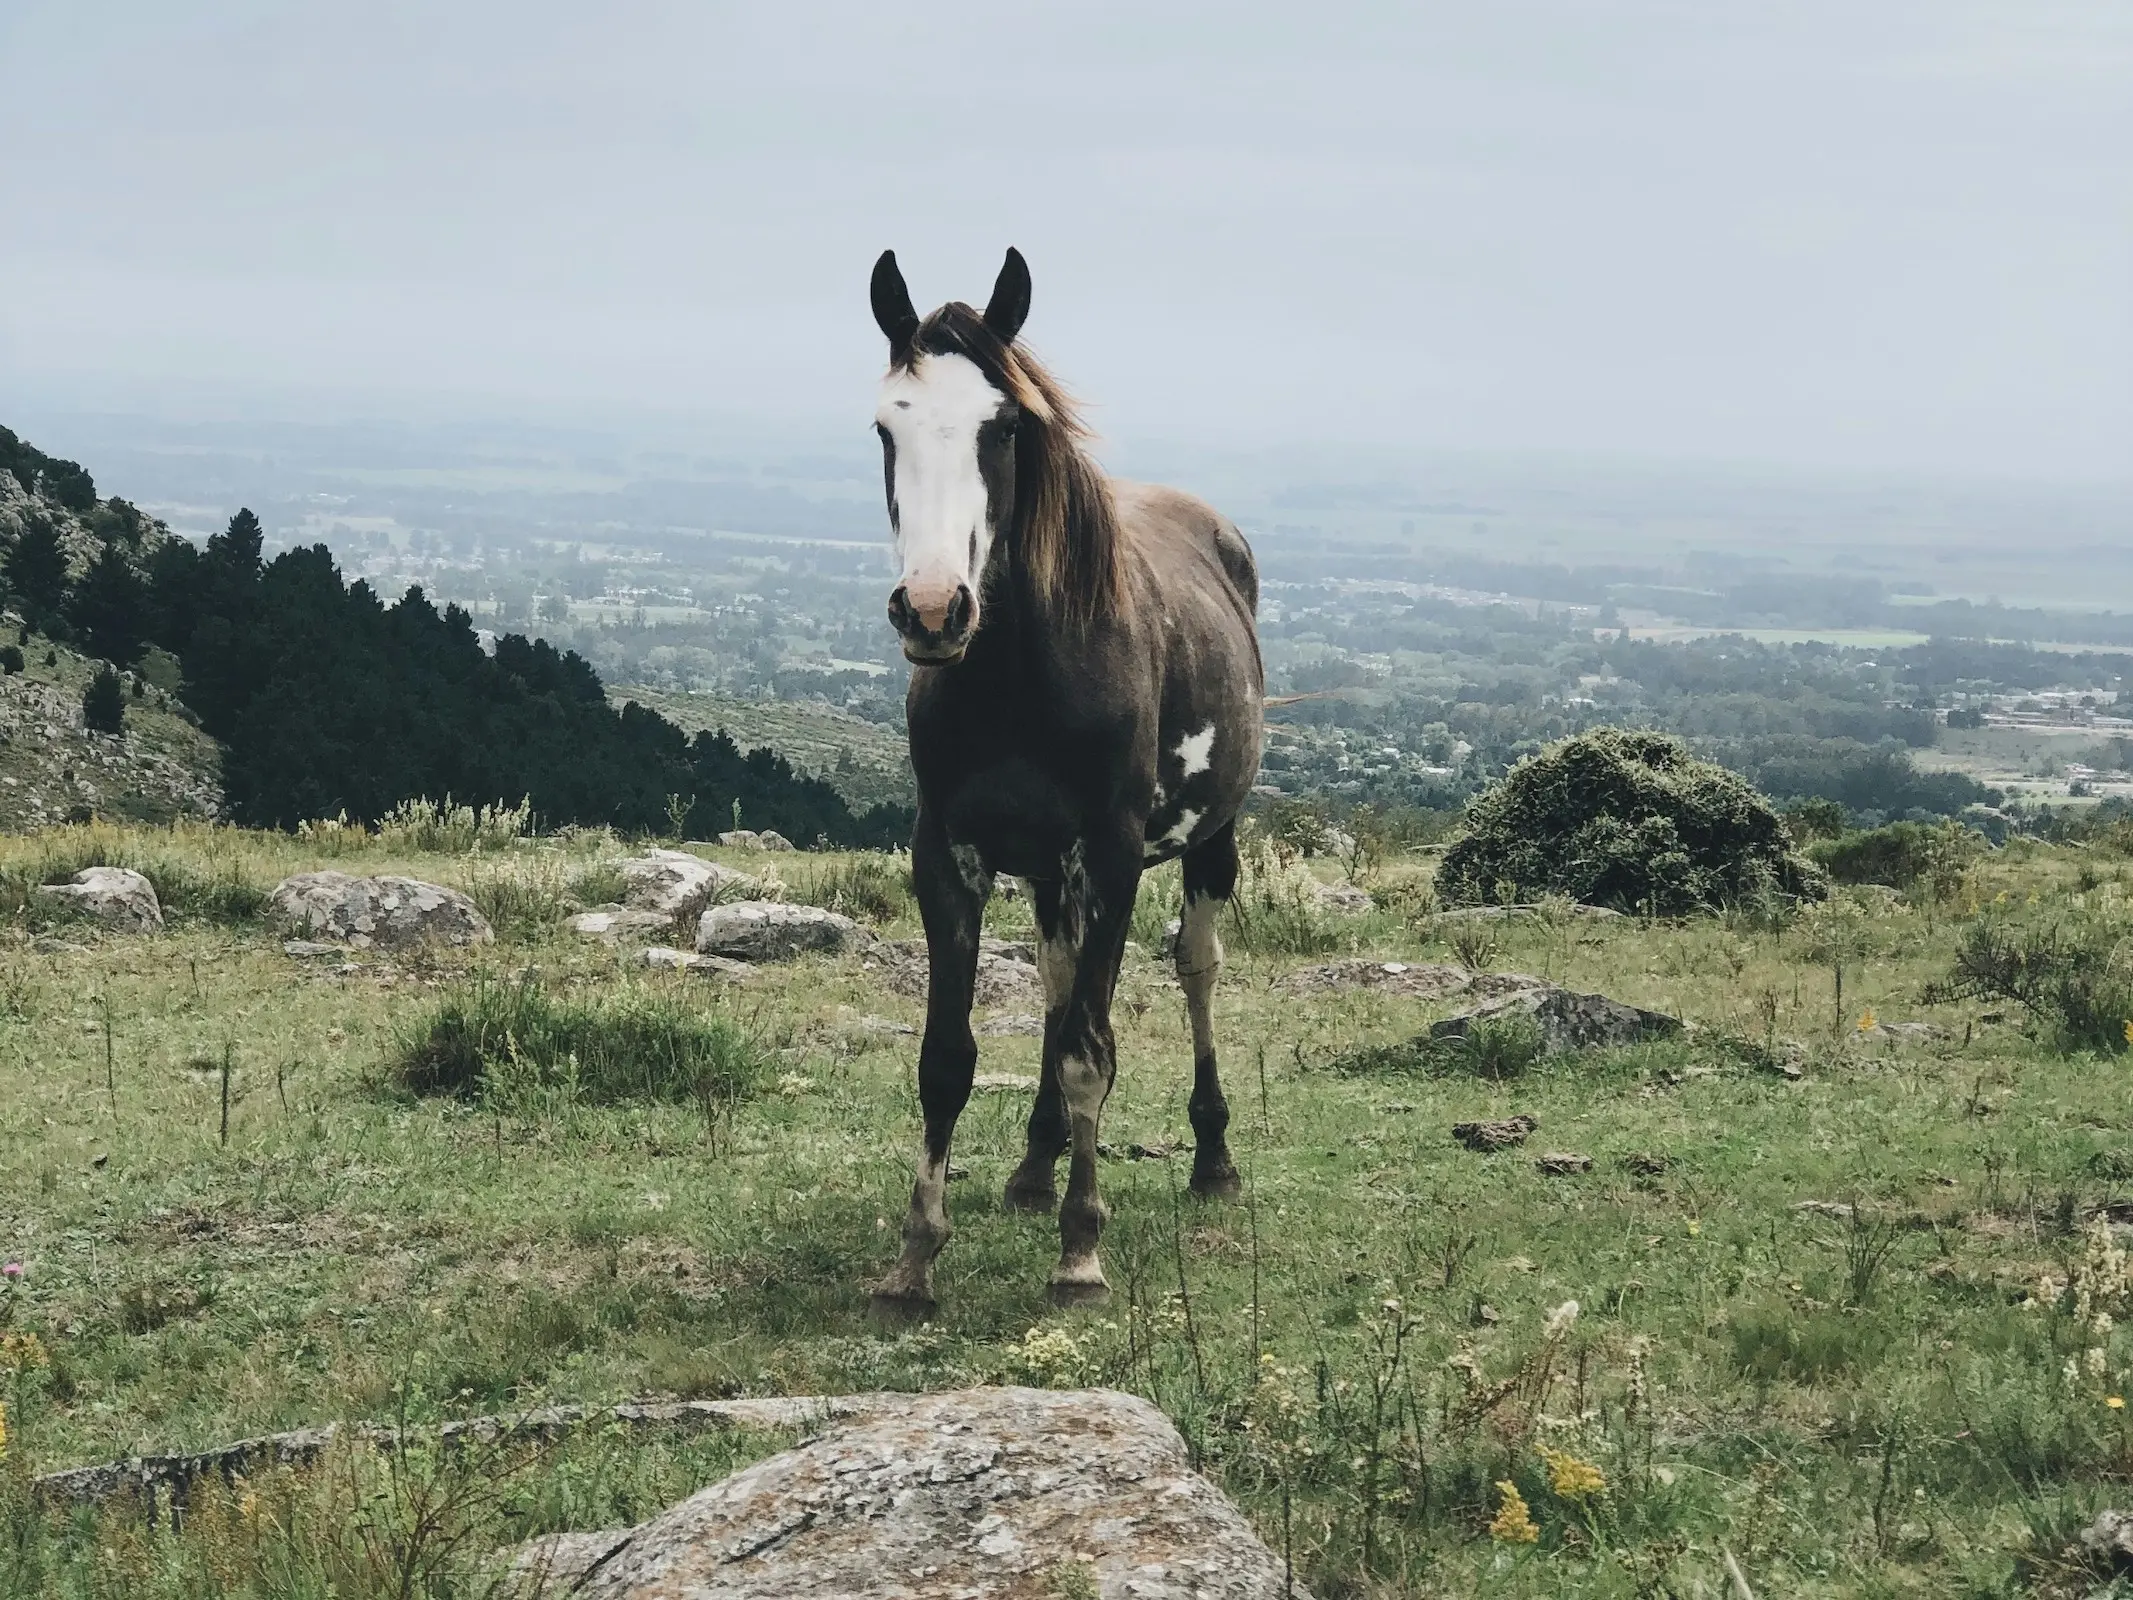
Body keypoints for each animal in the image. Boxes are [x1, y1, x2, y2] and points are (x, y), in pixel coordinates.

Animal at [865, 244, 1262, 1305]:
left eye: (1005, 426)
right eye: (884, 425)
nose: (932, 610)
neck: (1020, 676)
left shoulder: (1113, 854)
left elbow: (1091, 1051)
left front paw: (1081, 1249)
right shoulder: (946, 852)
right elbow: (947, 1059)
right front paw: (916, 1257)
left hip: (1208, 843)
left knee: (1194, 968)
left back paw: (1212, 1159)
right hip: (1047, 870)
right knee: (1053, 978)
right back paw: (1036, 1164)